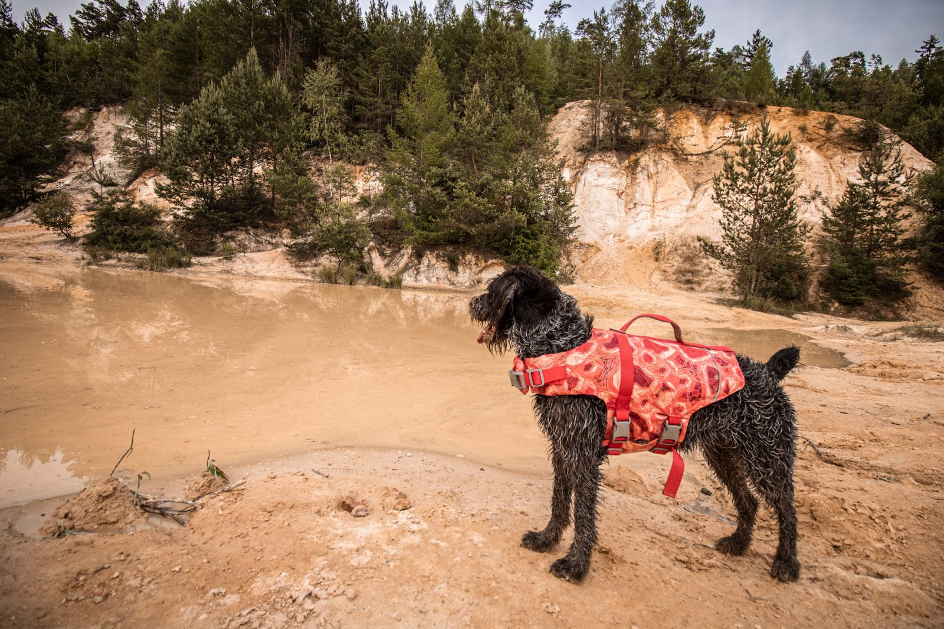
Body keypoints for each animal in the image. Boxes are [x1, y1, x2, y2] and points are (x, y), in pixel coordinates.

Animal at [468, 266, 800, 584]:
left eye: (491, 290)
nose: (472, 303)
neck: (560, 344)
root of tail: (768, 372)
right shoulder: (563, 447)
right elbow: (559, 501)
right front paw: (546, 539)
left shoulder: (583, 455)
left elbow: (583, 514)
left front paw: (576, 565)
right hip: (724, 454)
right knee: (749, 501)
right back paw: (738, 544)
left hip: (767, 457)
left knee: (787, 509)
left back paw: (786, 563)